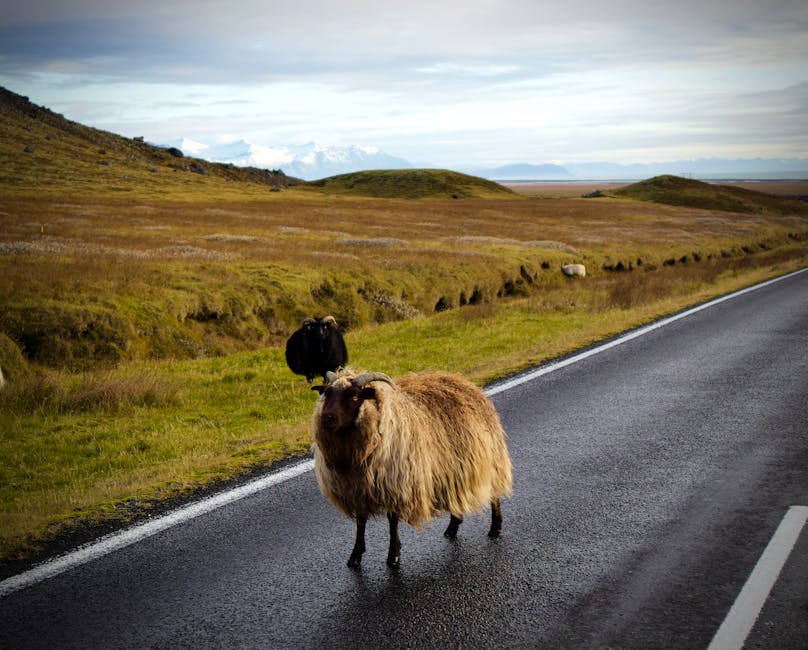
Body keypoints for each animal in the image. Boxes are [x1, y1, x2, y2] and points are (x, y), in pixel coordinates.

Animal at [311, 368, 513, 568]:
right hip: (454, 469)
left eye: (354, 397)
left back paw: (495, 527)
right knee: (457, 496)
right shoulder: (357, 489)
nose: (326, 418)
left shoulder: (396, 484)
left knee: (494, 493)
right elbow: (360, 522)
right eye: (327, 394)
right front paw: (355, 555)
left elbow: (392, 521)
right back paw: (452, 527)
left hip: (489, 459)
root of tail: (465, 383)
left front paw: (394, 555)